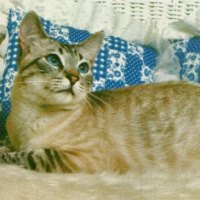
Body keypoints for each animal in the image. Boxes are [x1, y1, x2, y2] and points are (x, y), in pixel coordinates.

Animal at [0, 11, 199, 173]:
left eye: (83, 68)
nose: (74, 78)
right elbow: (7, 146)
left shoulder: (80, 158)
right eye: (53, 60)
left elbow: (29, 155)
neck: (29, 115)